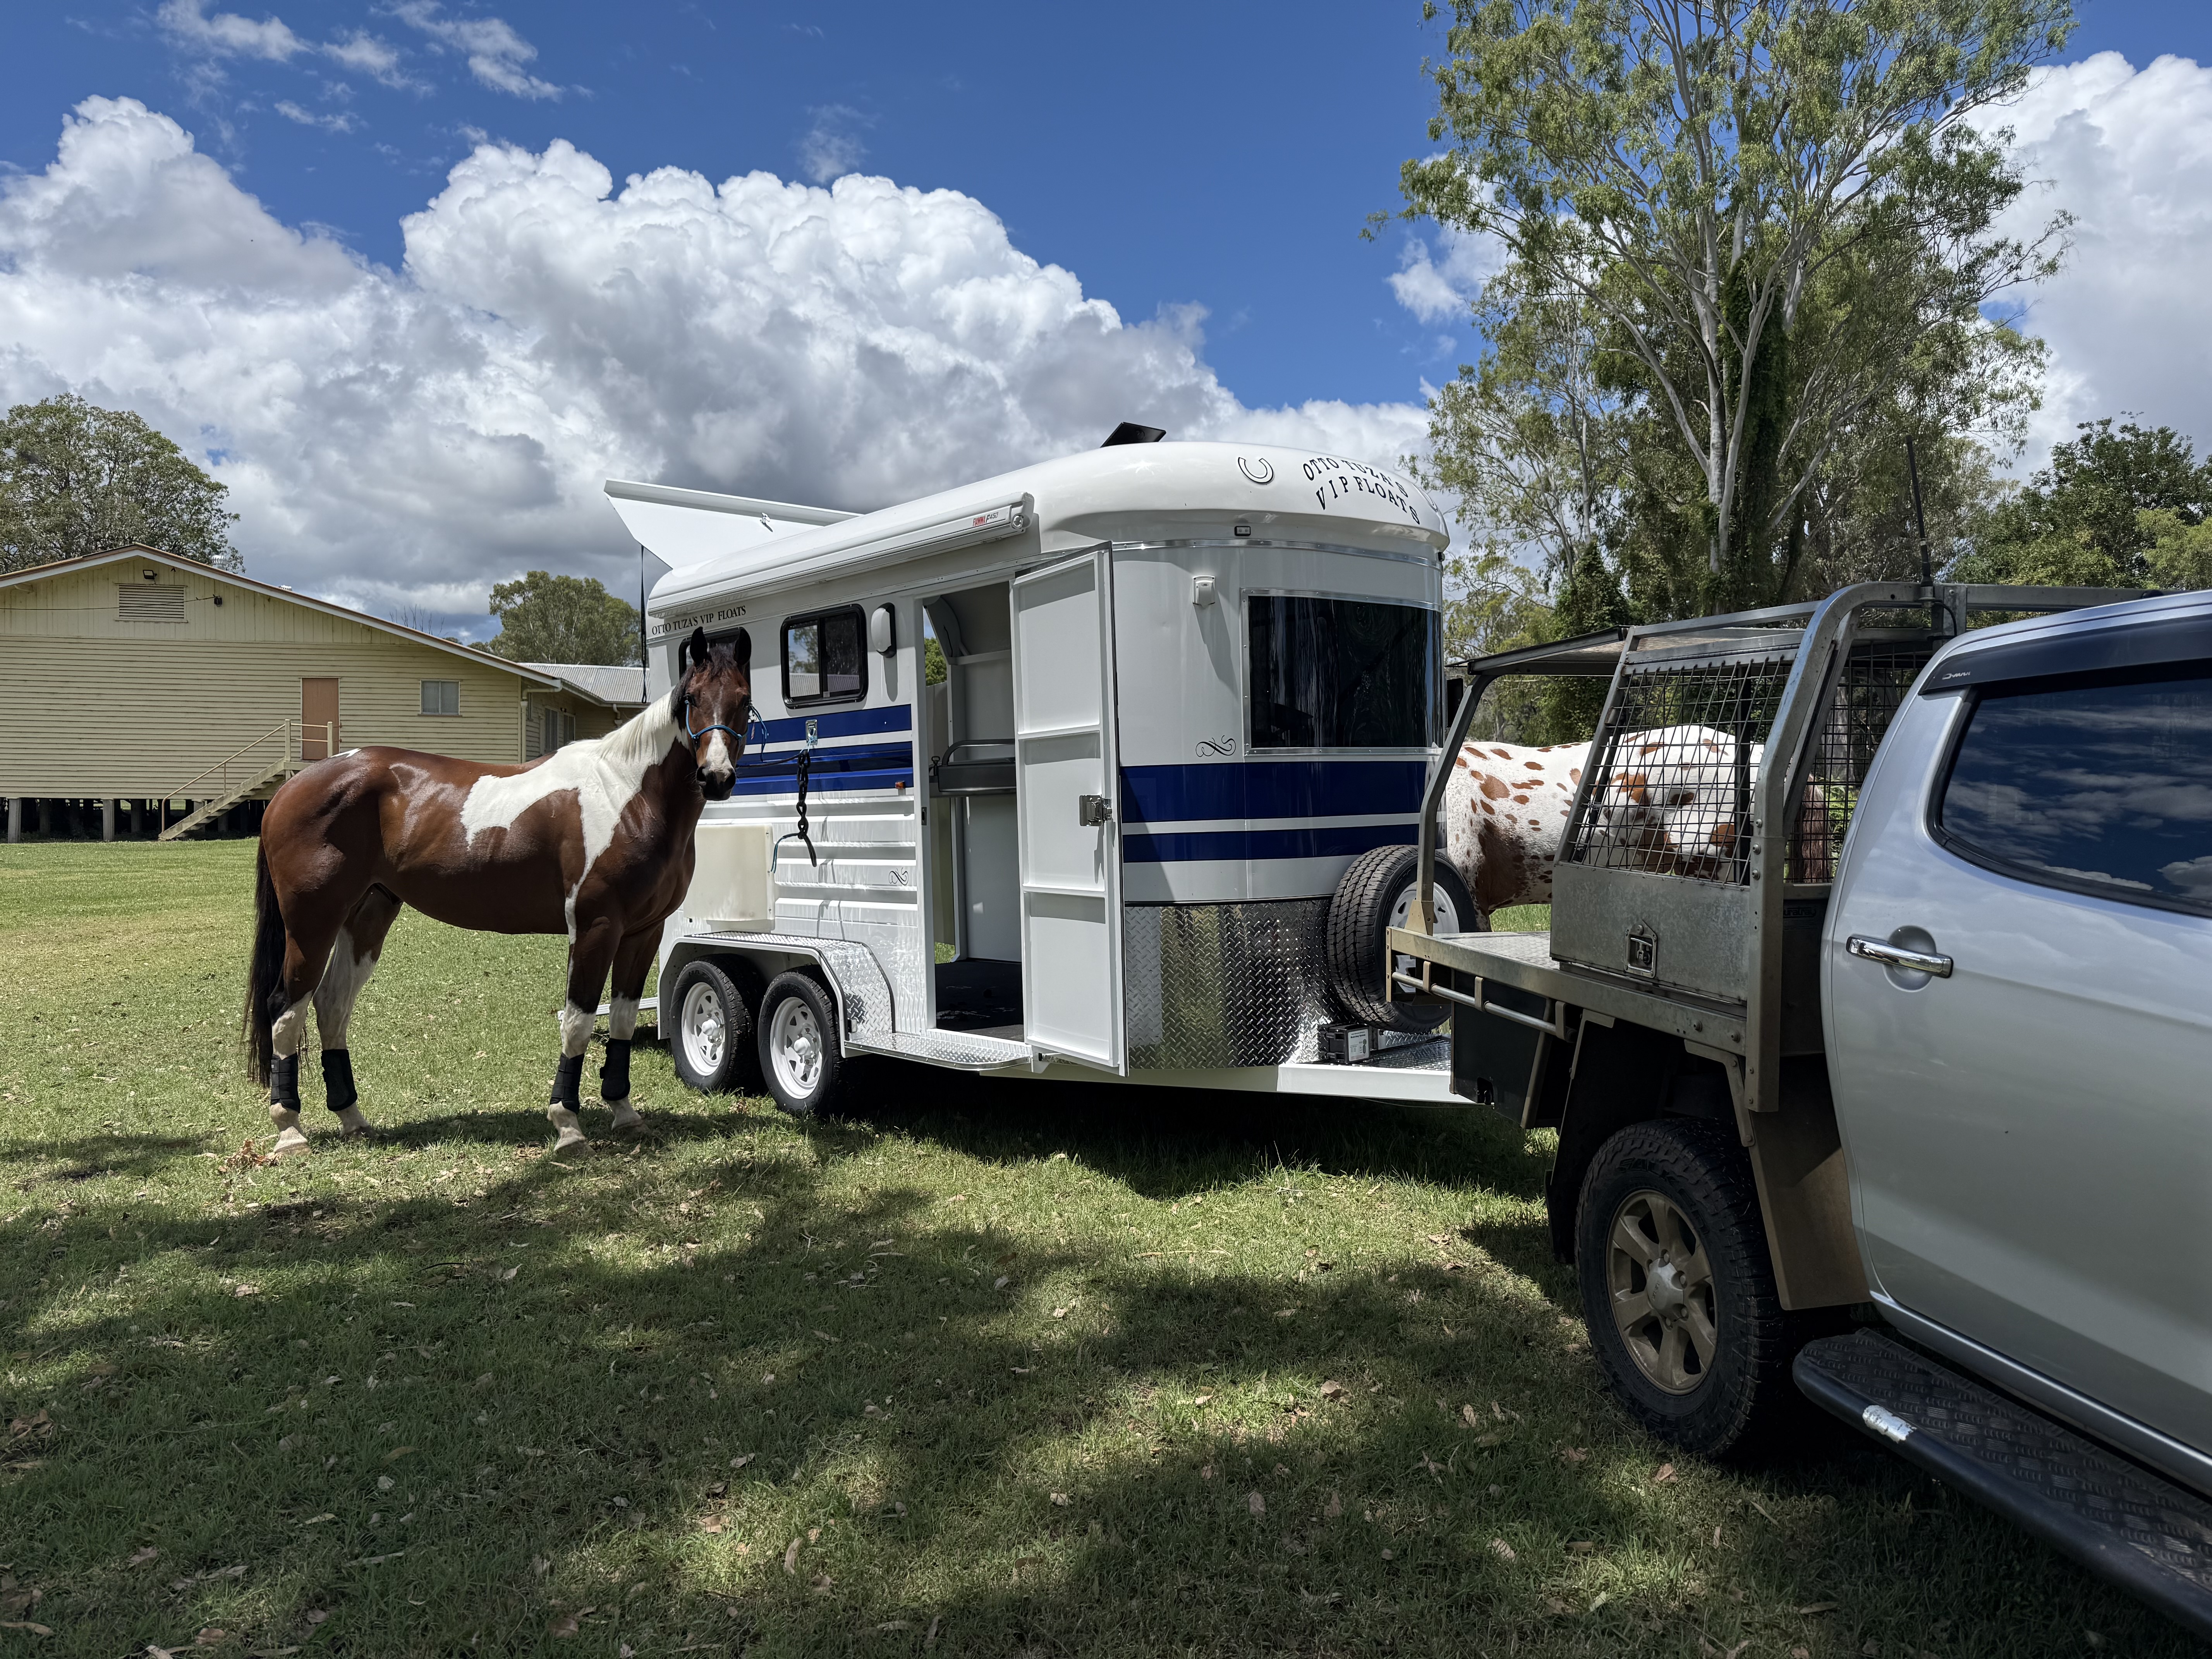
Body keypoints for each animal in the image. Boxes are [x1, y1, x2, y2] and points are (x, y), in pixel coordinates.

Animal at [241, 627, 751, 1158]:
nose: (716, 778)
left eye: (743, 700)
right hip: (312, 925)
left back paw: (353, 1119)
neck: (627, 795)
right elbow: (578, 1022)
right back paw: (290, 1131)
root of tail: (290, 789)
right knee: (286, 1010)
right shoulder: (596, 928)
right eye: (691, 699)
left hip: (367, 916)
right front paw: (568, 1126)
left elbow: (624, 1021)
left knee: (332, 1005)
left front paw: (625, 1113)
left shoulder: (643, 933)